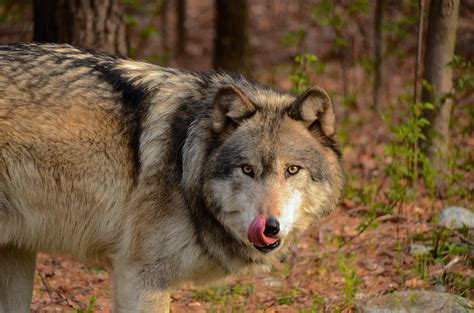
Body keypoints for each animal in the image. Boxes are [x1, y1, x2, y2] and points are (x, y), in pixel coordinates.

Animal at [0, 42, 342, 310]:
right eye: (247, 169)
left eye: (292, 169)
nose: (270, 227)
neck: (186, 163)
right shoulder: (142, 277)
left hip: (17, 251)